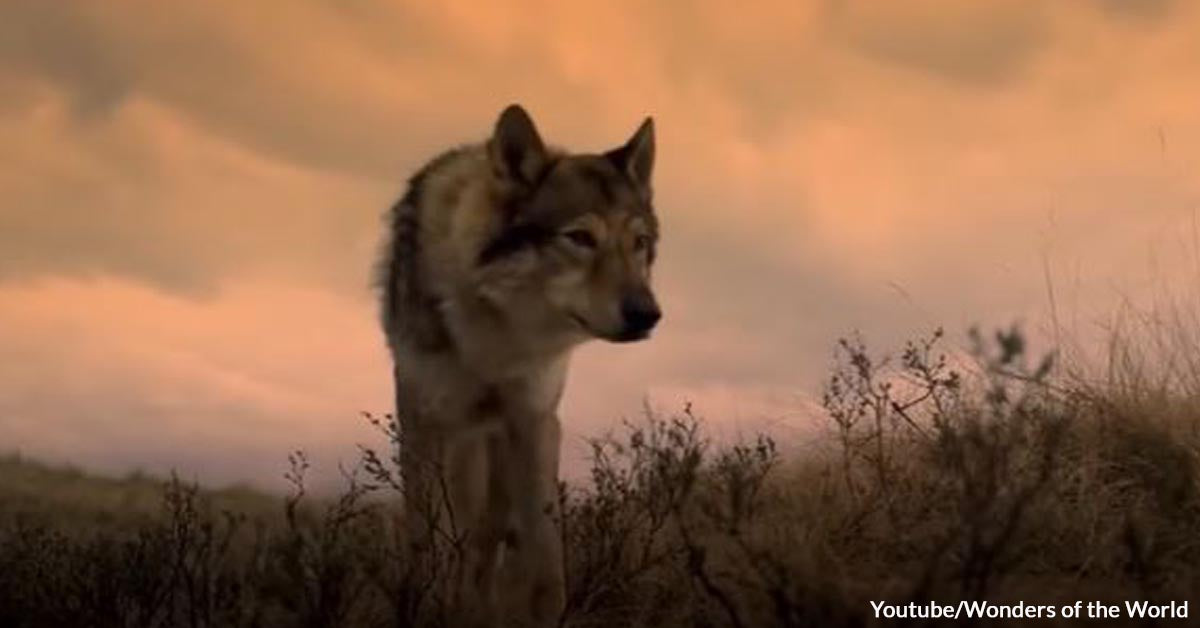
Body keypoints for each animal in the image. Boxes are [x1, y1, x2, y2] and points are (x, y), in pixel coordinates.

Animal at [377, 104, 661, 625]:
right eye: (580, 237)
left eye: (638, 242)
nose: (647, 314)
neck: (496, 329)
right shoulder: (422, 420)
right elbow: (424, 541)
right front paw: (424, 607)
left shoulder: (533, 419)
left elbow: (545, 559)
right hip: (461, 441)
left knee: (485, 541)